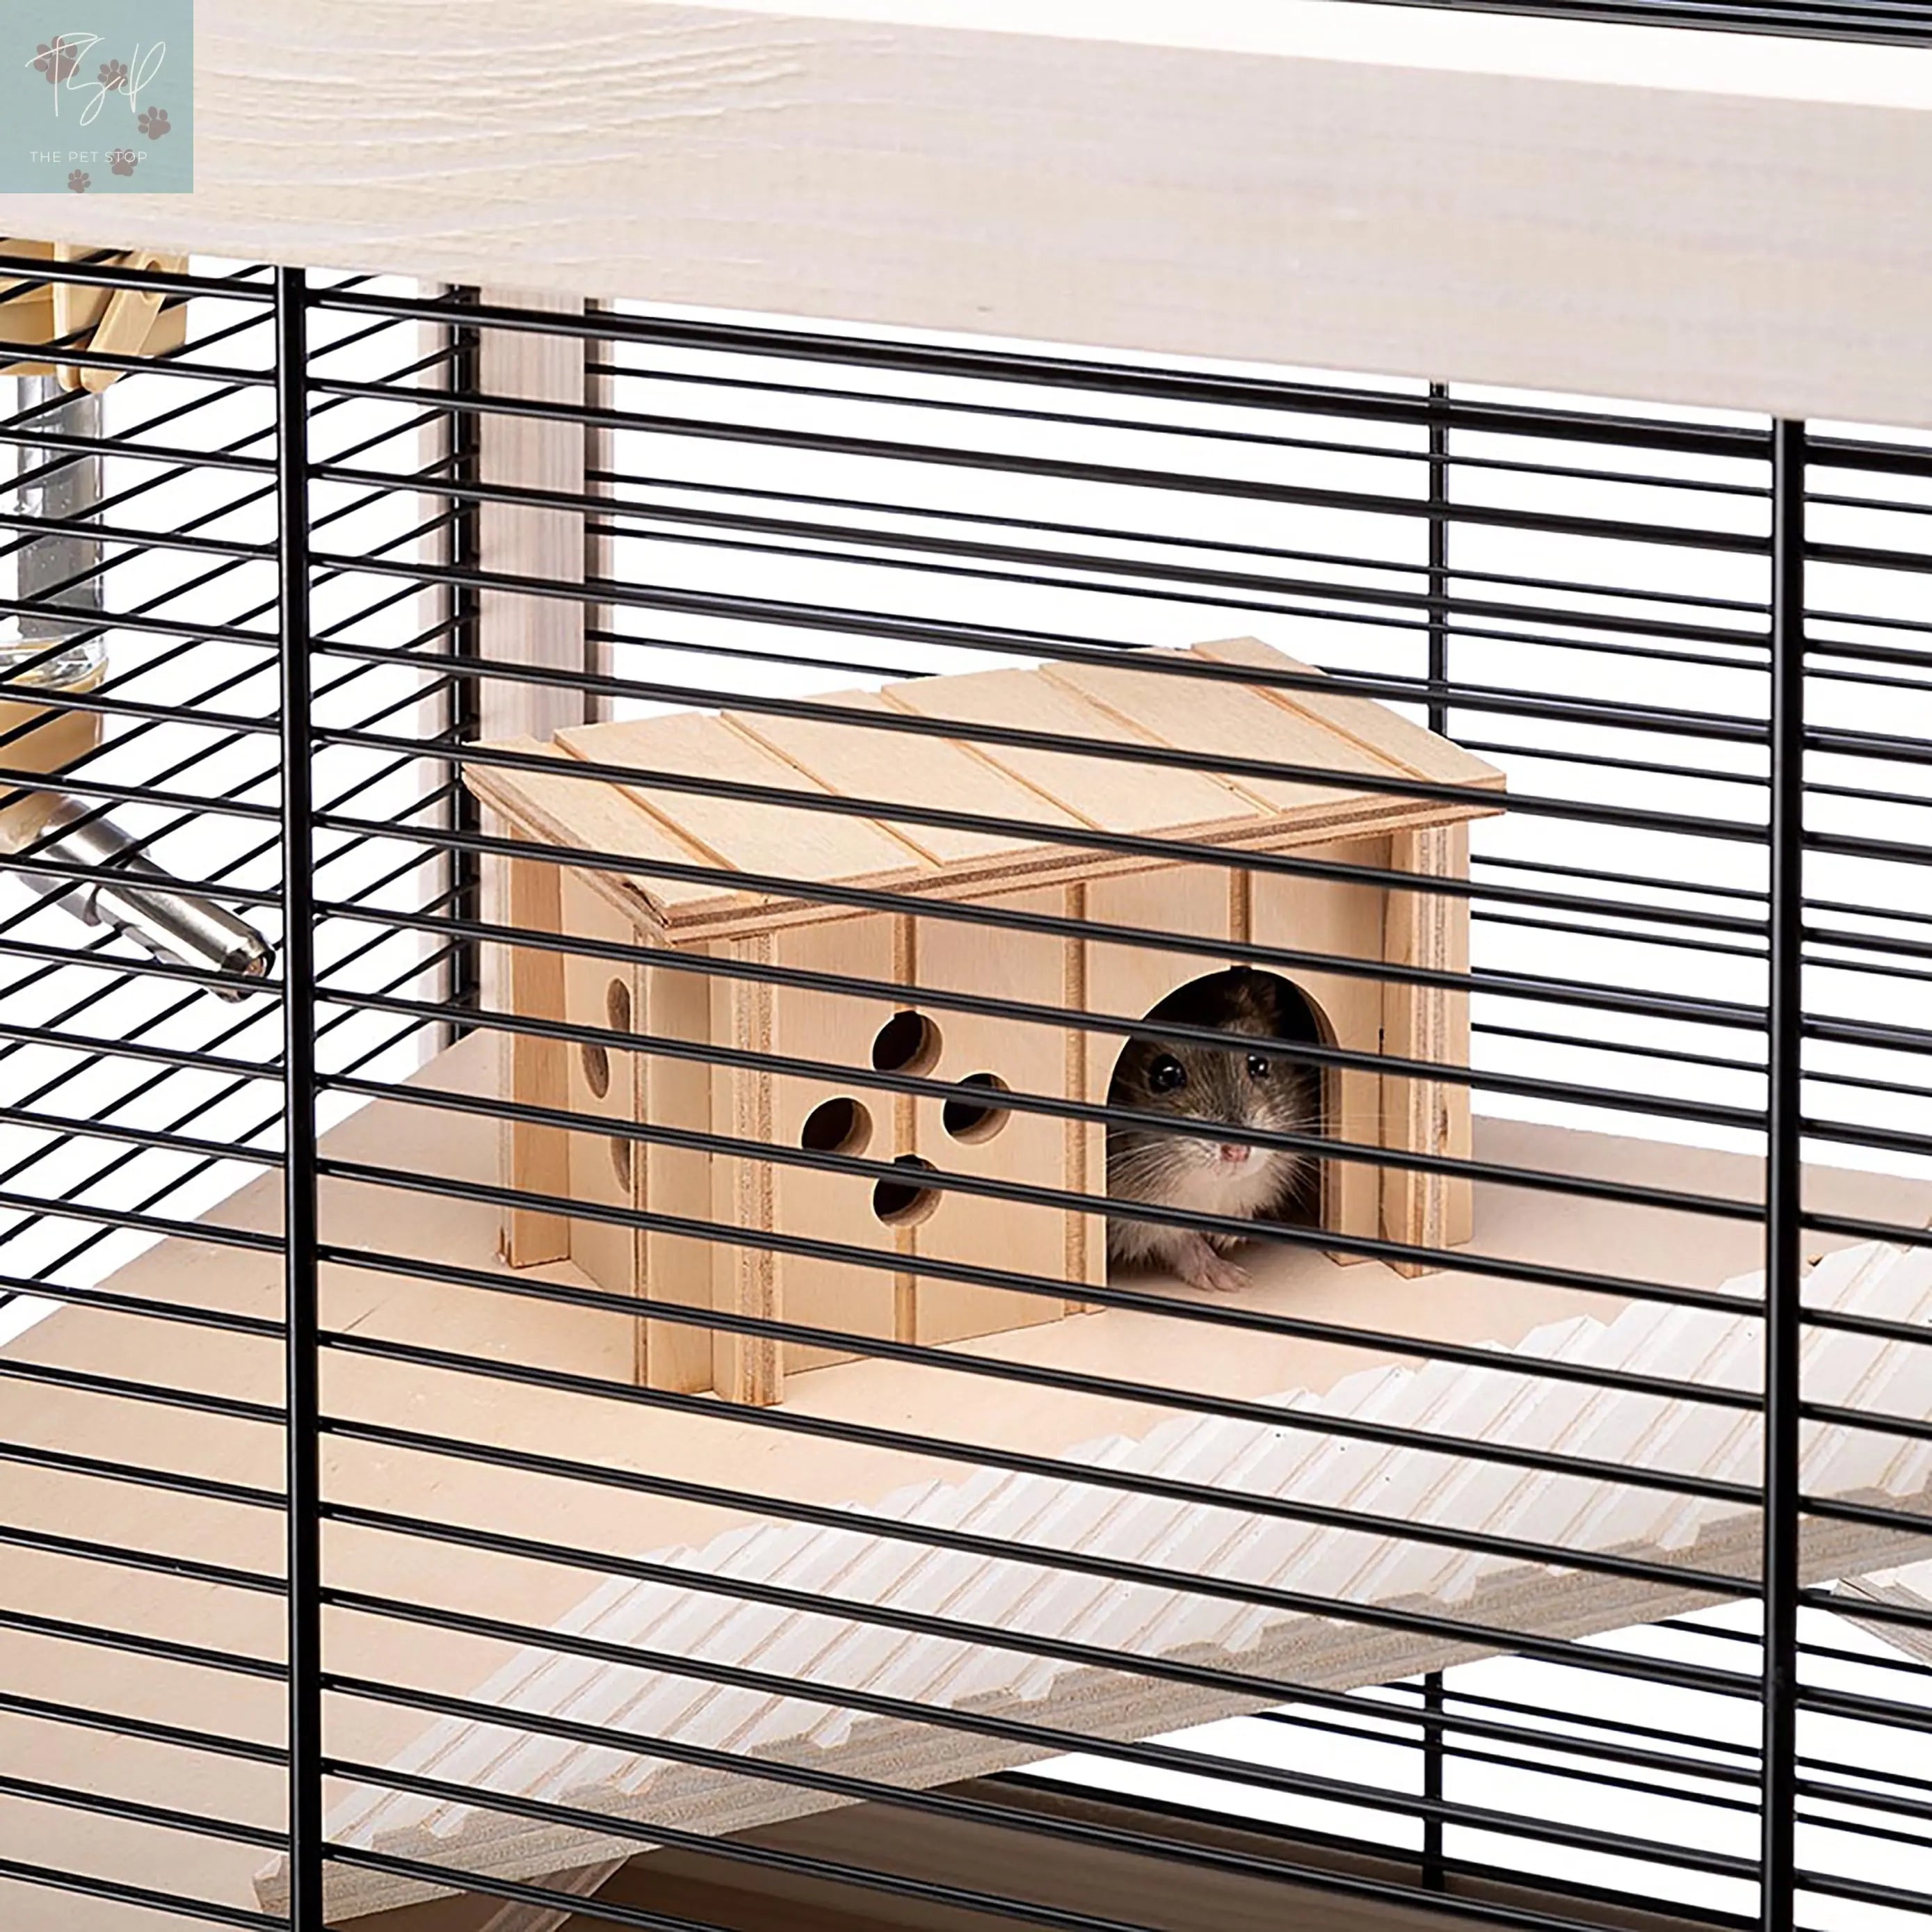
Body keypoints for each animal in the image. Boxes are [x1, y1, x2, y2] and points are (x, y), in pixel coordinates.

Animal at [1105, 966, 1320, 1293]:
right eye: (1165, 1074)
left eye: (1259, 1063)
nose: (1238, 1152)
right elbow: (1180, 1242)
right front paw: (1231, 1279)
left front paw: (1229, 1235)